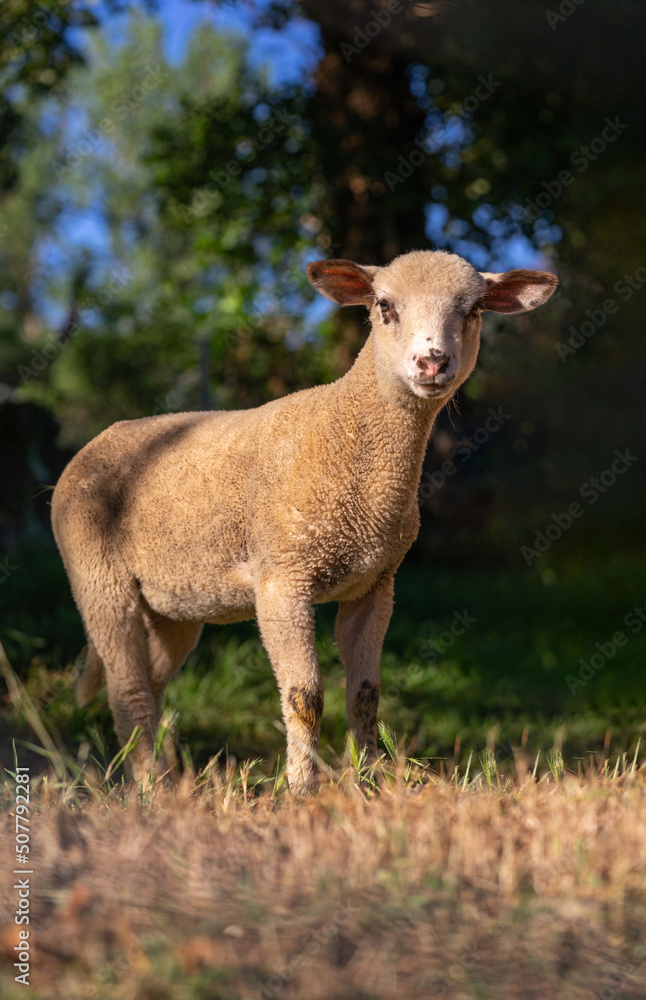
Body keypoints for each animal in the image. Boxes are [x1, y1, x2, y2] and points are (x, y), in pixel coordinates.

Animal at [51, 249, 558, 793]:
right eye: (384, 306)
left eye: (475, 310)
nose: (432, 362)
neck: (347, 433)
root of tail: (97, 440)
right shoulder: (282, 577)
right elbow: (304, 696)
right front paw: (300, 791)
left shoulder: (375, 584)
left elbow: (366, 695)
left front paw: (369, 786)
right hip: (98, 577)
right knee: (128, 693)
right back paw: (150, 788)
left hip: (173, 603)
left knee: (150, 685)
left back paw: (169, 780)